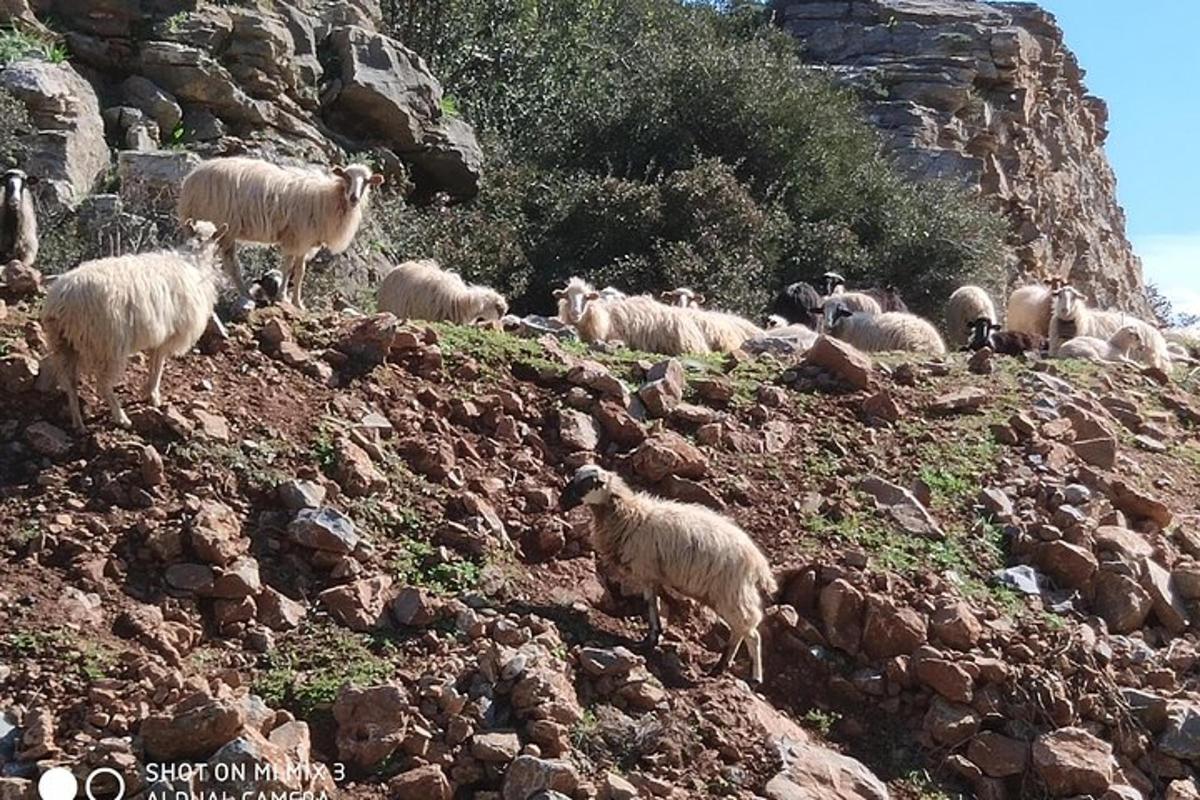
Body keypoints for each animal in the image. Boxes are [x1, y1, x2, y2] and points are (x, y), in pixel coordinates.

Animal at [39, 217, 226, 431]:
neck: (194, 261)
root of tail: (60, 300)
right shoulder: (167, 336)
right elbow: (158, 365)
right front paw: (154, 396)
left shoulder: (158, 334)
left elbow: (154, 363)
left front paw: (149, 392)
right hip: (107, 346)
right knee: (102, 384)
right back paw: (121, 417)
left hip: (62, 343)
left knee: (70, 383)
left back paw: (78, 423)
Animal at [177, 155, 381, 309]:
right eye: (347, 177)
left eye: (367, 182)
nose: (354, 198)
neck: (328, 197)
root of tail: (190, 181)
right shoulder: (298, 236)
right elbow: (288, 267)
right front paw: (283, 297)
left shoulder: (305, 241)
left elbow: (299, 271)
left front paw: (298, 302)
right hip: (219, 225)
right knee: (230, 264)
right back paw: (245, 294)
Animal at [561, 465, 777, 686]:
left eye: (587, 485)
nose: (561, 502)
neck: (630, 515)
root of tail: (758, 562)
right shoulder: (652, 576)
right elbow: (653, 604)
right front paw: (653, 636)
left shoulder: (646, 571)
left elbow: (650, 604)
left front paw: (650, 639)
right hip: (728, 597)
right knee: (739, 631)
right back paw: (721, 667)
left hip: (732, 594)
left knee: (752, 633)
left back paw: (753, 677)